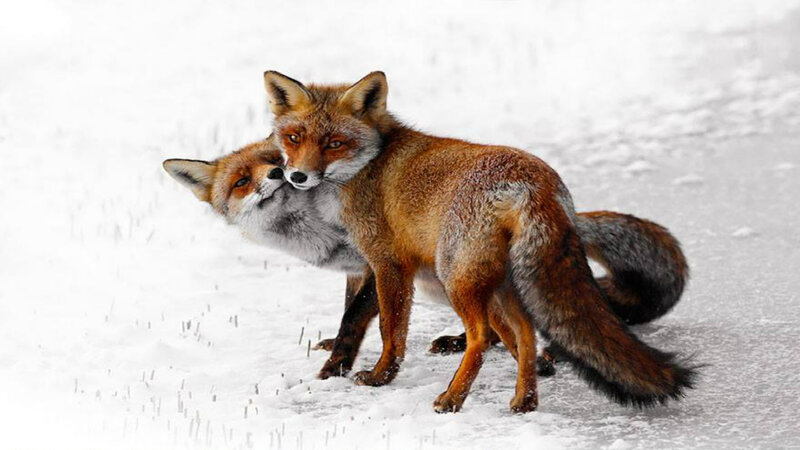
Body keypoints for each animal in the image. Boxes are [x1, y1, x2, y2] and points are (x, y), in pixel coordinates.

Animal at [262, 69, 697, 413]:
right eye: (295, 137)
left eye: (334, 143)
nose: (297, 176)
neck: (368, 167)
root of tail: (536, 182)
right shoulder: (366, 264)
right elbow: (352, 313)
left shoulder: (388, 263)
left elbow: (388, 328)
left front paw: (380, 375)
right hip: (498, 281)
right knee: (523, 334)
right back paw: (525, 400)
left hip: (454, 276)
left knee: (483, 337)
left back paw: (453, 398)